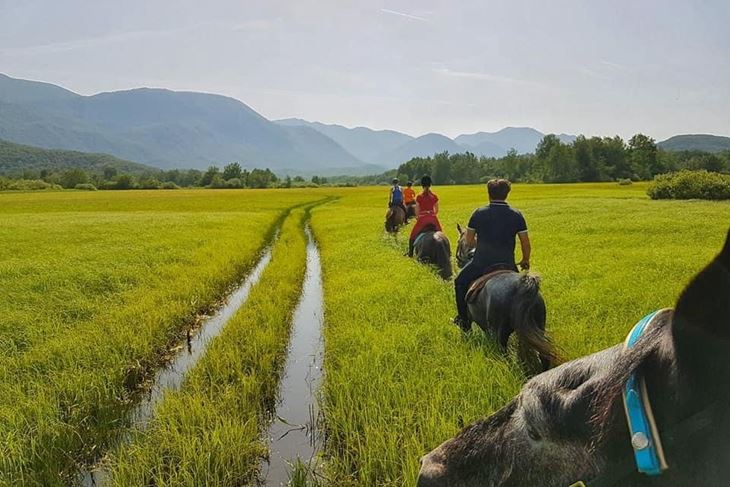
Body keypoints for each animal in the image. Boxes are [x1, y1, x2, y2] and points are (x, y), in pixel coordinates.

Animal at [456, 223, 552, 372]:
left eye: (458, 242)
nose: (458, 261)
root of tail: (522, 288)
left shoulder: (473, 320)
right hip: (538, 327)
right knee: (543, 356)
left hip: (500, 335)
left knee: (504, 357)